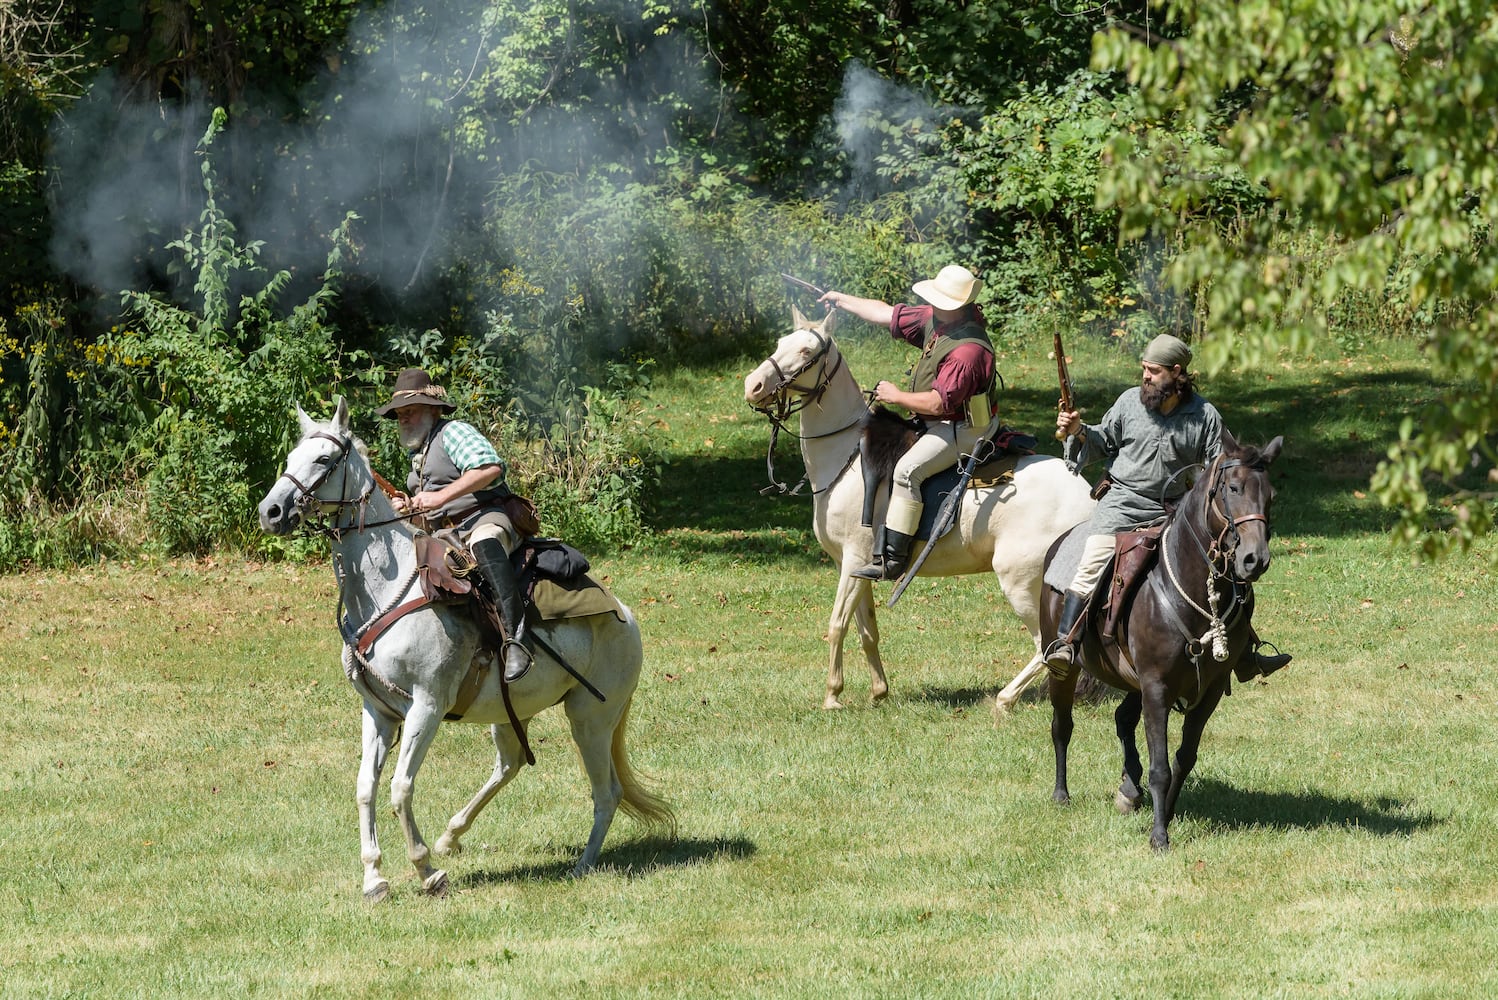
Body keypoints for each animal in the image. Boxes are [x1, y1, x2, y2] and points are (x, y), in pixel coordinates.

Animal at [257, 395, 674, 898]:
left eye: (323, 459)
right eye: (289, 458)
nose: (270, 511)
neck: (388, 589)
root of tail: (626, 614)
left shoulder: (427, 706)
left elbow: (400, 787)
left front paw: (426, 871)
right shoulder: (377, 711)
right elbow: (365, 787)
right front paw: (375, 876)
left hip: (590, 718)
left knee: (606, 792)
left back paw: (582, 866)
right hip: (512, 711)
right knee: (510, 765)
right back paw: (451, 835)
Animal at [743, 309, 1096, 709]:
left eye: (806, 351)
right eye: (779, 344)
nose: (753, 385)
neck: (846, 456)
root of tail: (1087, 496)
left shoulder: (852, 561)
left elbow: (837, 625)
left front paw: (832, 696)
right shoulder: (855, 566)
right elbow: (867, 630)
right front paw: (878, 692)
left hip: (1020, 581)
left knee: (1045, 646)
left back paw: (1005, 699)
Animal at [1036, 428, 1282, 850]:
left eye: (1270, 495)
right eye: (1233, 488)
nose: (1255, 559)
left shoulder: (1209, 690)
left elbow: (1184, 758)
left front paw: (1164, 812)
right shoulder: (1156, 688)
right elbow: (1161, 766)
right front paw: (1159, 836)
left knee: (1121, 719)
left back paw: (1128, 789)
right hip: (1064, 671)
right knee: (1062, 725)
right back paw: (1062, 794)